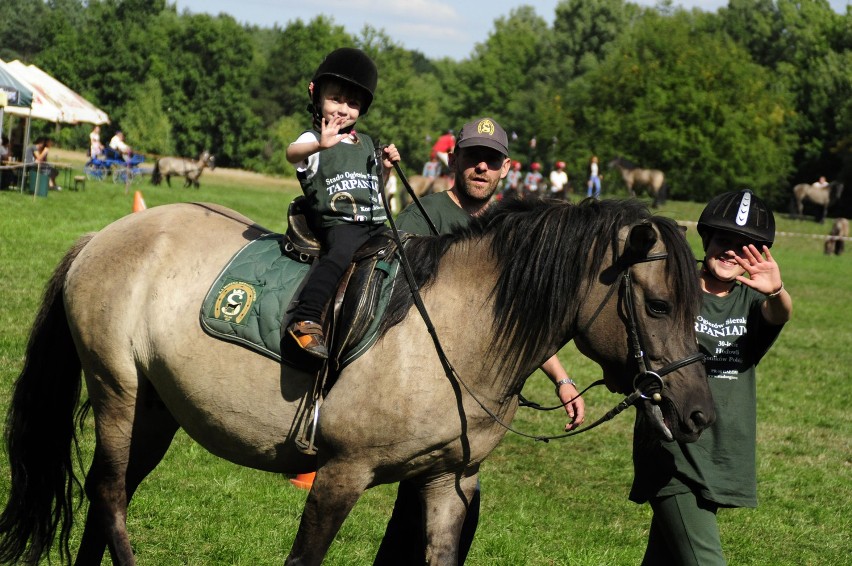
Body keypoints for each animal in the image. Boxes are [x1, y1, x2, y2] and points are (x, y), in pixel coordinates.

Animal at [0, 199, 716, 564]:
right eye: (657, 307)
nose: (698, 415)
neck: (456, 332)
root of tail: (106, 234)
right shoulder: (341, 475)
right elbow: (304, 560)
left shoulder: (447, 483)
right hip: (117, 393)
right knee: (109, 496)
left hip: (155, 410)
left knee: (108, 496)